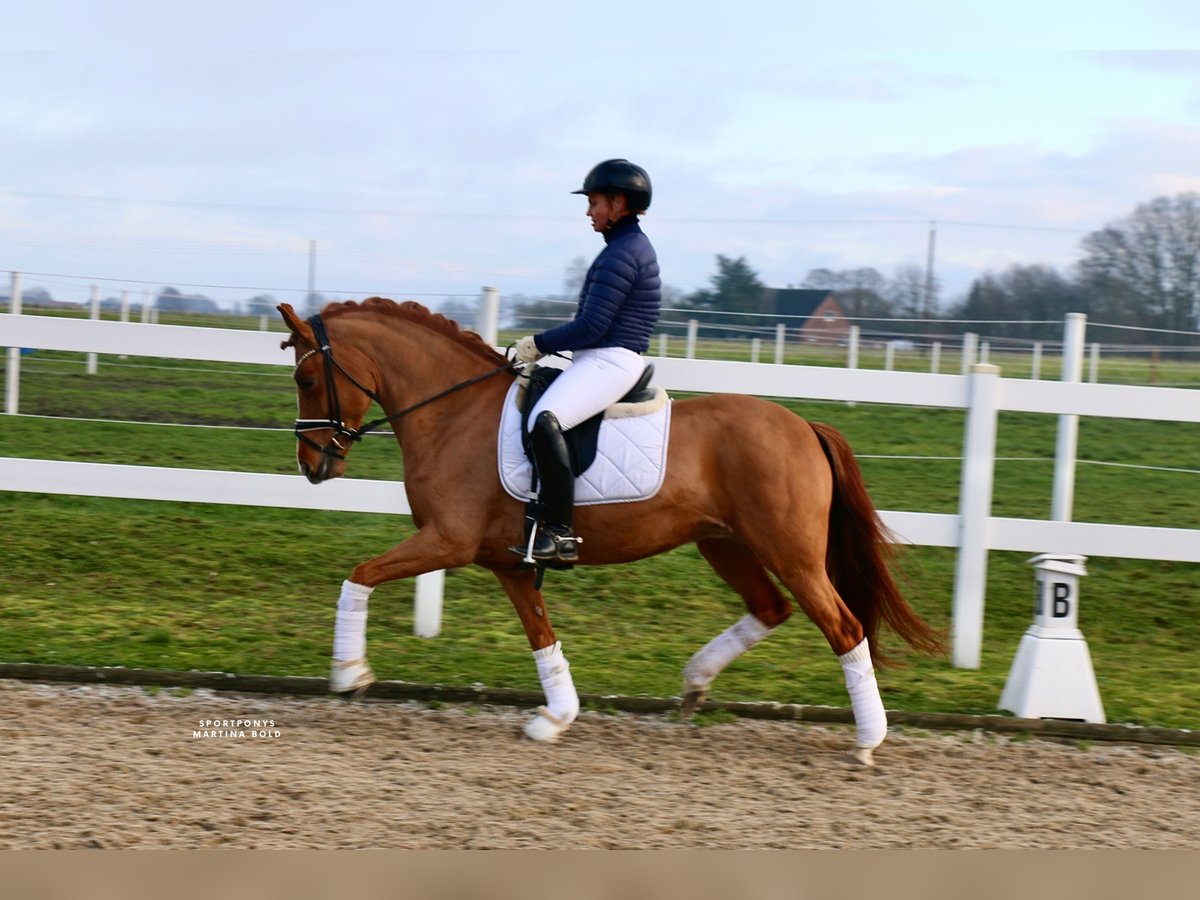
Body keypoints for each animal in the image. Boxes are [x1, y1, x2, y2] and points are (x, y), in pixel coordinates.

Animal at [280, 300, 945, 763]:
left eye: (307, 381)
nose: (313, 465)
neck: (453, 414)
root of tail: (804, 425)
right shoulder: (509, 561)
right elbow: (541, 637)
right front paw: (556, 718)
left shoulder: (448, 541)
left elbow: (358, 577)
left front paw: (349, 674)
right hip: (724, 544)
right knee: (771, 608)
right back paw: (695, 684)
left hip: (792, 553)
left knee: (843, 627)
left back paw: (868, 739)